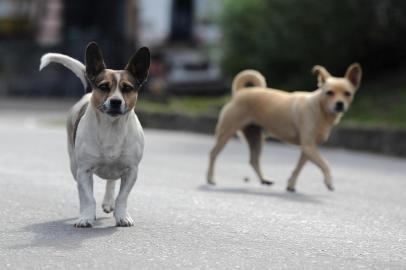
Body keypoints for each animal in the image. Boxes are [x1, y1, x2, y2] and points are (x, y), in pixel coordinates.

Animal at [39, 42, 151, 227]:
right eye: (104, 87)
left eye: (127, 88)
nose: (115, 101)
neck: (111, 127)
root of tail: (88, 92)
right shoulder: (84, 170)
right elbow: (88, 197)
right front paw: (86, 216)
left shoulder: (131, 171)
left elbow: (122, 197)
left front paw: (122, 216)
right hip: (74, 166)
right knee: (82, 191)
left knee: (111, 181)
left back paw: (108, 202)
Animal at [208, 63, 364, 191]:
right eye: (329, 93)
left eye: (347, 93)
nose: (339, 104)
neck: (319, 109)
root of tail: (240, 92)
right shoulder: (308, 146)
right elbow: (325, 164)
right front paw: (329, 182)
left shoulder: (308, 149)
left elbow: (298, 168)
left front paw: (291, 184)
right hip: (226, 132)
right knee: (213, 153)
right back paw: (210, 179)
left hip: (256, 138)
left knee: (253, 160)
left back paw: (264, 180)